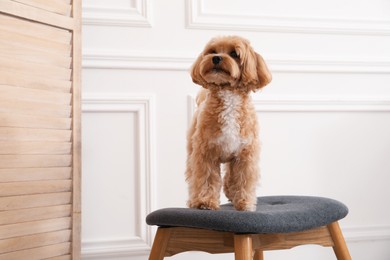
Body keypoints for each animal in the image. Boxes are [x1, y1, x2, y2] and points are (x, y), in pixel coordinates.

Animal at [185, 35, 272, 211]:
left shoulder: (245, 154)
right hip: (192, 150)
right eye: (212, 51)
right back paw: (194, 200)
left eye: (234, 54)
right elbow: (206, 178)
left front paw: (245, 202)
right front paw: (205, 202)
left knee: (230, 176)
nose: (216, 58)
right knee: (193, 176)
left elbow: (243, 178)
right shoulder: (205, 152)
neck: (228, 94)